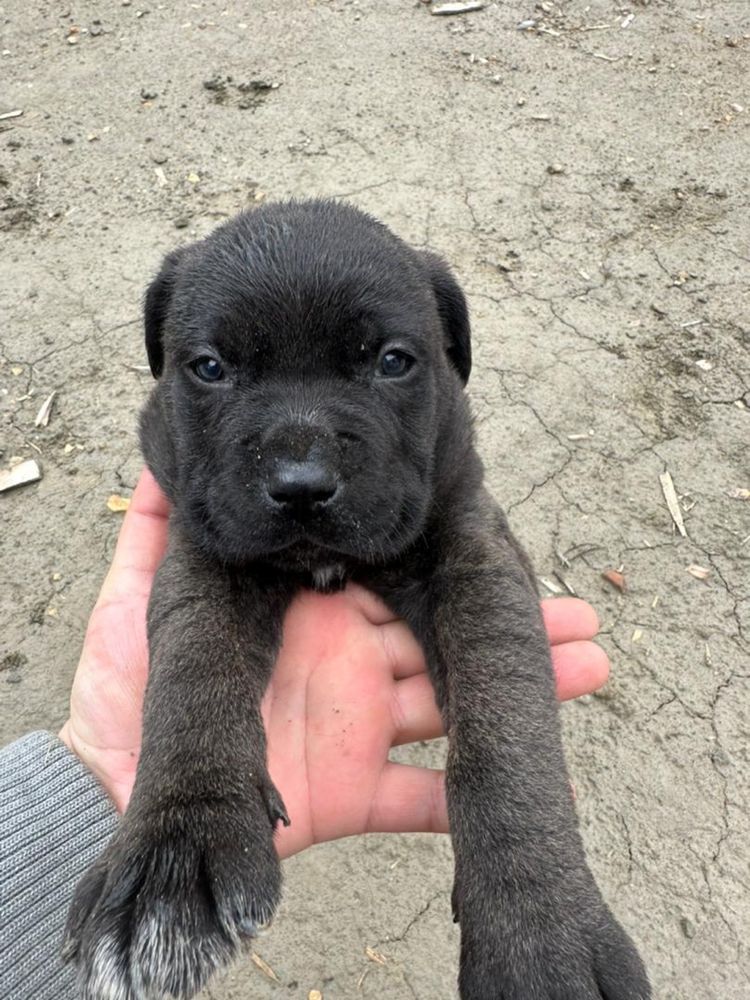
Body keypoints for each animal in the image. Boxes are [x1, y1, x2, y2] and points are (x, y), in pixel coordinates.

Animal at [64, 199, 652, 996]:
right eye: (211, 368)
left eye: (393, 361)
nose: (302, 484)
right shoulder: (207, 546)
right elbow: (193, 665)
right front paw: (178, 843)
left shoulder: (472, 548)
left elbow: (506, 724)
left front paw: (540, 931)